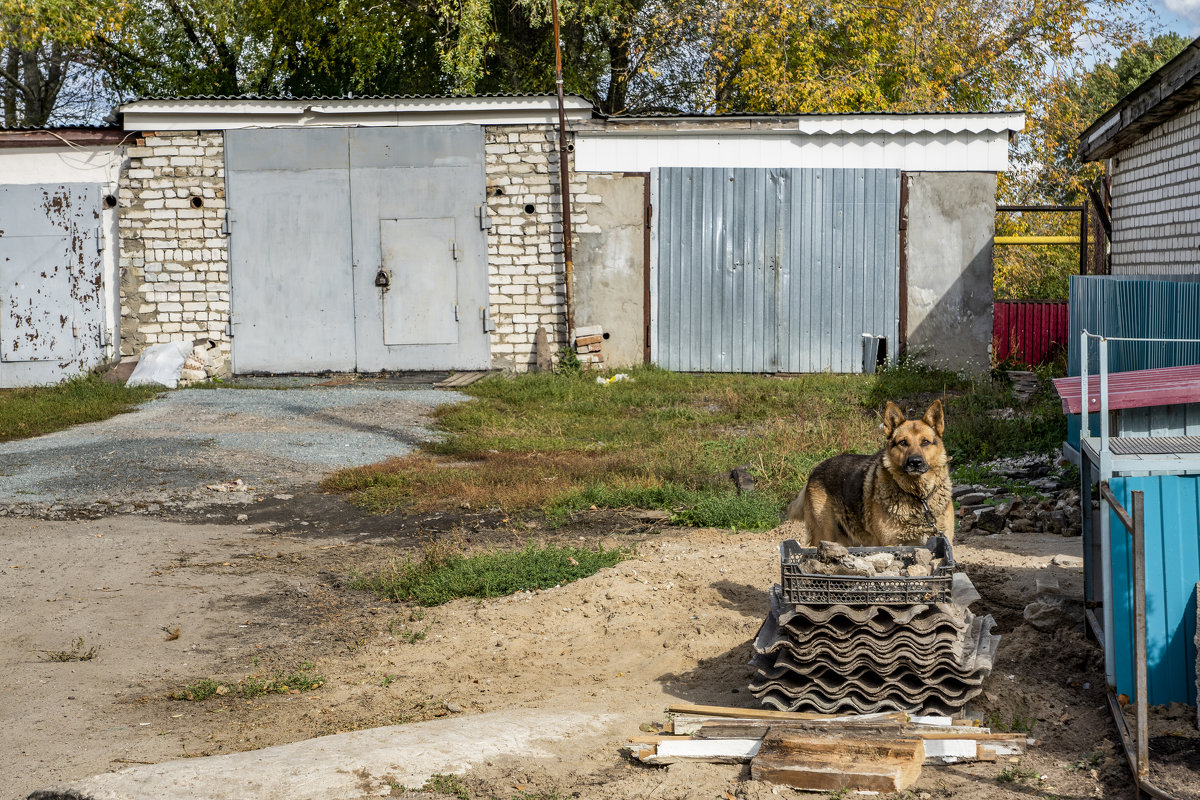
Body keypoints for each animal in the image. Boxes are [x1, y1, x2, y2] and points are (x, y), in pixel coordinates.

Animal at [787, 400, 955, 551]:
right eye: (903, 443)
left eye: (925, 442)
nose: (915, 462)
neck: (919, 497)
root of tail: (816, 469)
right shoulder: (889, 544)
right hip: (824, 535)